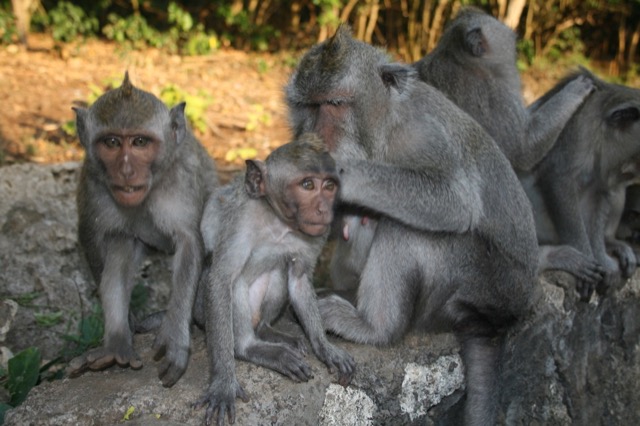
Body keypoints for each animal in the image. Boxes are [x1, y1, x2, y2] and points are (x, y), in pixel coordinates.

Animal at [68, 72, 218, 387]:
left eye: (139, 142)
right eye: (112, 142)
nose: (126, 171)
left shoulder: (183, 178)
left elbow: (190, 242)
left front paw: (175, 336)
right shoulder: (93, 180)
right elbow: (91, 238)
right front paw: (128, 323)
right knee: (121, 243)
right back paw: (116, 343)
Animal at [193, 133, 355, 426]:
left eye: (329, 186)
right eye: (307, 184)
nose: (324, 208)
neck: (280, 224)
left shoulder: (316, 233)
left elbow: (299, 279)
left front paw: (325, 347)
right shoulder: (243, 220)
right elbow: (221, 279)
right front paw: (223, 383)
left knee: (279, 270)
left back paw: (268, 330)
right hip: (204, 310)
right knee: (235, 287)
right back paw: (251, 348)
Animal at [285, 26, 539, 425]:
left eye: (334, 104)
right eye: (308, 107)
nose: (314, 137)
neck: (384, 132)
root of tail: (499, 318)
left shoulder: (422, 134)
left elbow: (454, 199)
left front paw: (341, 173)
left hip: (473, 285)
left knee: (409, 228)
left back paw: (375, 328)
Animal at [412, 7, 604, 292]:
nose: (516, 38)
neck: (459, 59)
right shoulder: (491, 95)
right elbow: (524, 148)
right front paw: (574, 91)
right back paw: (546, 259)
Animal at [521, 68, 640, 299]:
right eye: (636, 156)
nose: (630, 173)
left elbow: (601, 192)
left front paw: (601, 258)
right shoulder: (580, 126)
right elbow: (559, 179)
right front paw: (585, 254)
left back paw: (610, 242)